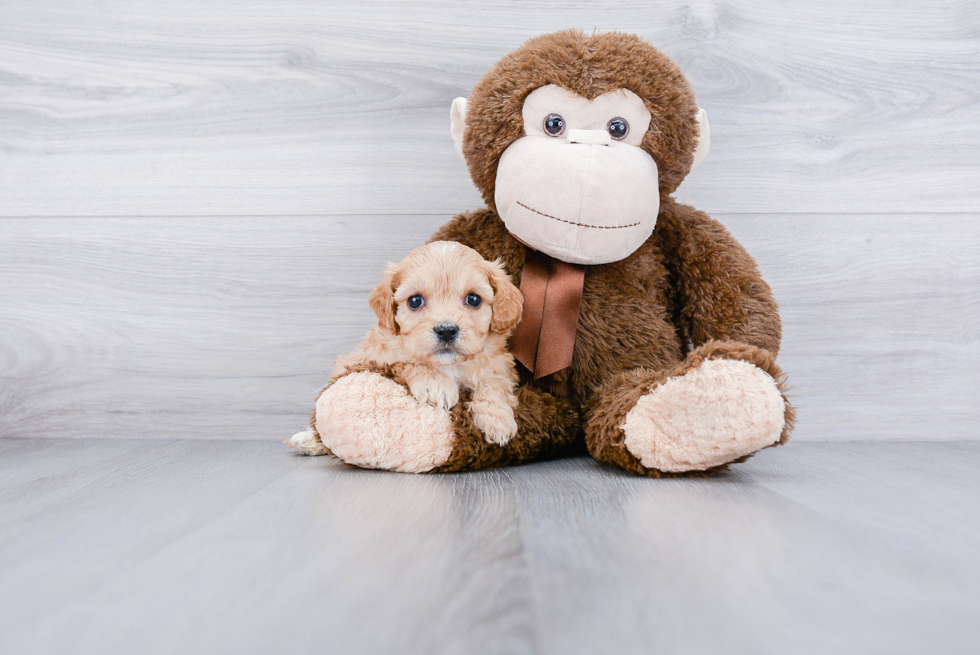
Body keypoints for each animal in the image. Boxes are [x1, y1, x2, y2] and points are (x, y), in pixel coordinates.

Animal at [330, 241, 524, 446]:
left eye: (474, 299)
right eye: (415, 301)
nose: (446, 330)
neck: (448, 365)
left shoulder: (499, 364)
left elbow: (494, 381)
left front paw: (497, 418)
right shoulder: (373, 358)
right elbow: (406, 362)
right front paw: (436, 384)